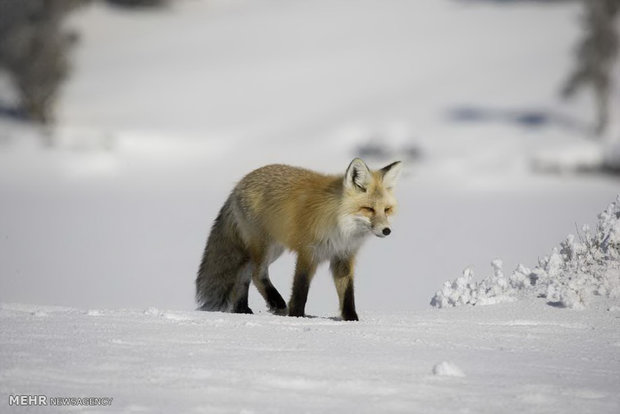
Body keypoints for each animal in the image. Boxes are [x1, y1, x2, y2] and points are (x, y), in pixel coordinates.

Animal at [196, 157, 404, 322]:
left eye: (387, 210)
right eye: (368, 209)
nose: (387, 230)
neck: (341, 227)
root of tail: (239, 184)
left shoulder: (343, 257)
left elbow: (347, 295)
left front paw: (352, 320)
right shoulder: (308, 252)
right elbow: (300, 290)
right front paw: (296, 316)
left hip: (273, 248)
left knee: (243, 273)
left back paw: (242, 309)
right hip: (265, 246)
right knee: (256, 274)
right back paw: (276, 303)